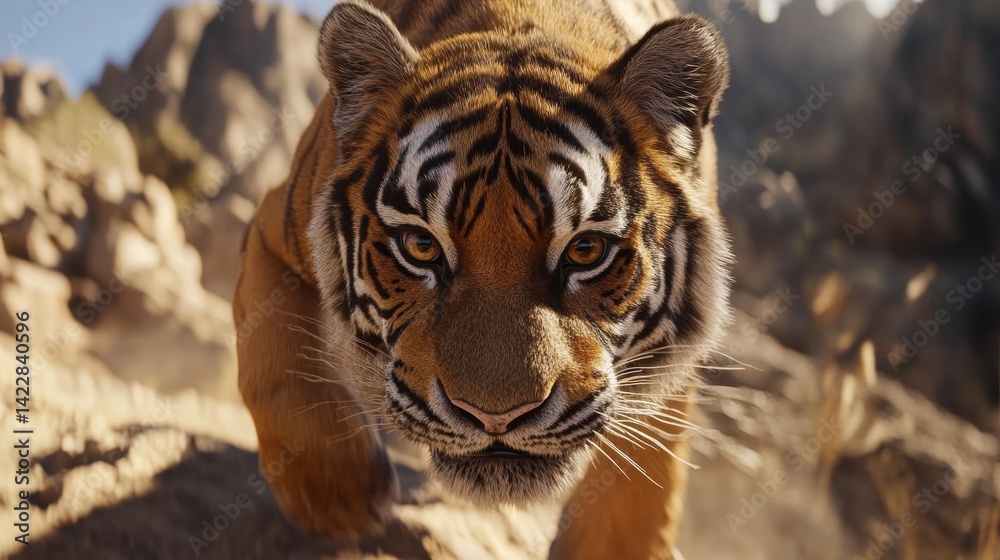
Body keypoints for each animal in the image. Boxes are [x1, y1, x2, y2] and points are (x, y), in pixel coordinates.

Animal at [233, 0, 731, 557]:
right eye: (421, 246)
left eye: (585, 250)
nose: (496, 418)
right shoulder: (272, 227)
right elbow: (273, 354)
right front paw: (336, 494)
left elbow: (654, 443)